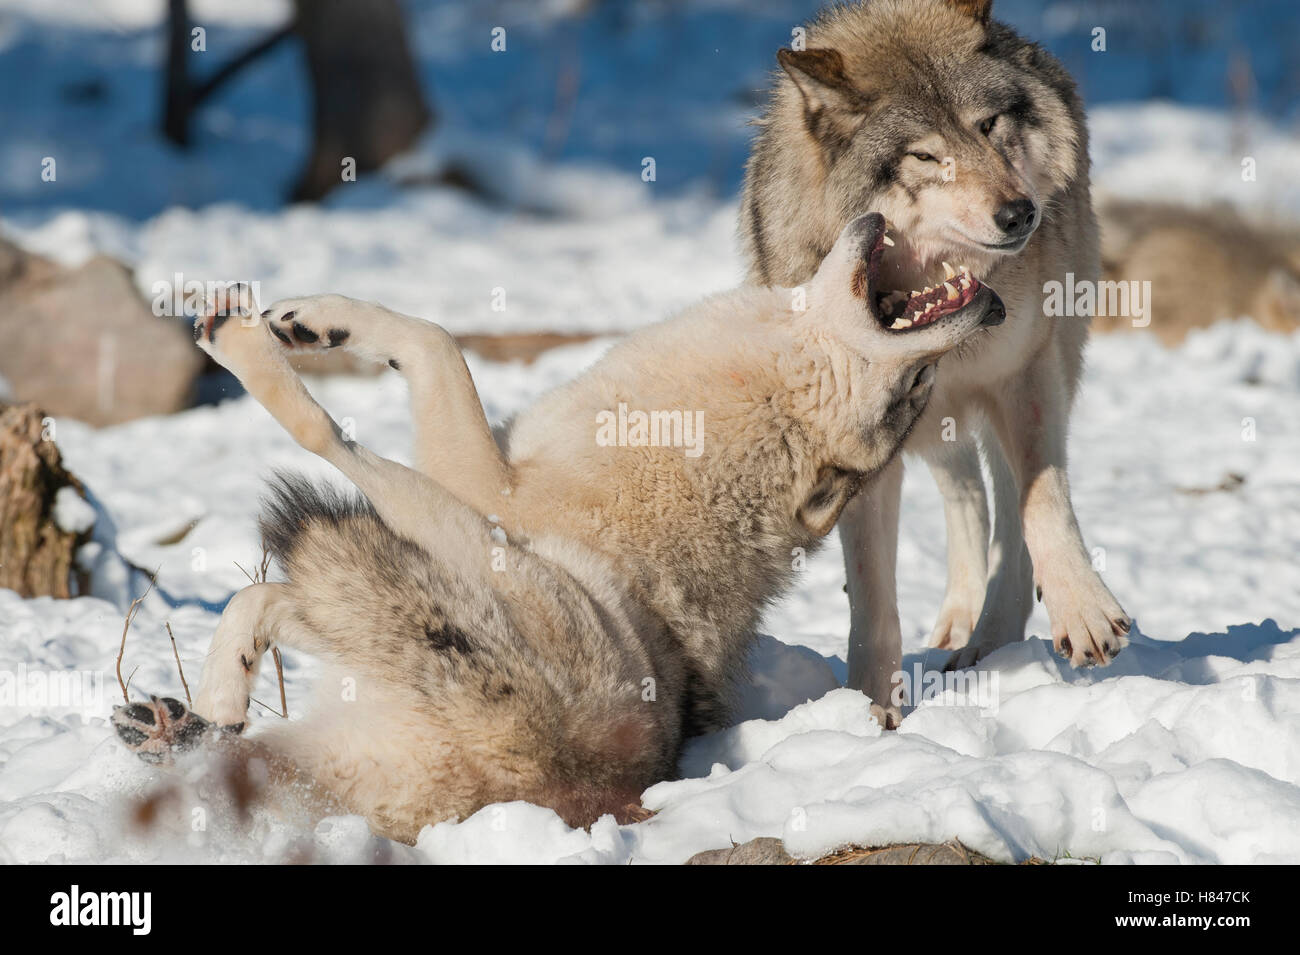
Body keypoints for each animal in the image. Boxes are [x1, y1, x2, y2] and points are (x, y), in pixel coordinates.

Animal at [111, 216, 1003, 841]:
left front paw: (283, 330)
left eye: (915, 388)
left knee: (321, 457)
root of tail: (541, 770)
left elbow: (434, 345)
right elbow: (428, 337)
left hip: (462, 546)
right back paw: (186, 719)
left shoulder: (477, 482)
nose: (994, 304)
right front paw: (319, 319)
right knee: (273, 655)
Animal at [743, 0, 1128, 722]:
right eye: (926, 155)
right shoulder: (866, 441)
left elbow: (1039, 503)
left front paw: (1082, 611)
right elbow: (871, 601)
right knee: (966, 493)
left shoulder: (1024, 375)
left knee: (1001, 498)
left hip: (1043, 368)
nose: (1020, 213)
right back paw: (959, 623)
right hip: (932, 424)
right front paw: (871, 715)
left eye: (988, 126)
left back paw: (987, 642)